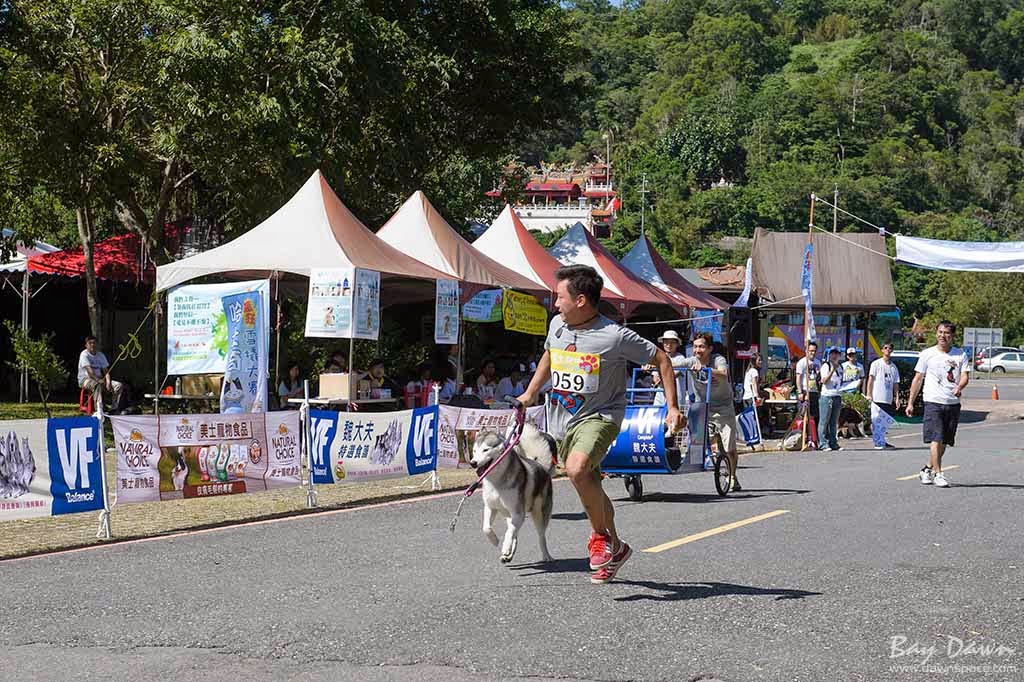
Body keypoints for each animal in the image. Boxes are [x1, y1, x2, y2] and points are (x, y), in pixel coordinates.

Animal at [468, 421, 557, 561]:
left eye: (486, 450)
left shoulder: (518, 513)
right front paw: (495, 541)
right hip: (510, 516)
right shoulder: (490, 507)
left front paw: (505, 546)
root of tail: (543, 467)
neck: (496, 482)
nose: (473, 463)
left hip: (538, 514)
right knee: (515, 533)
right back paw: (508, 555)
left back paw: (546, 555)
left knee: (540, 536)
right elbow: (486, 528)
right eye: (474, 451)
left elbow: (509, 533)